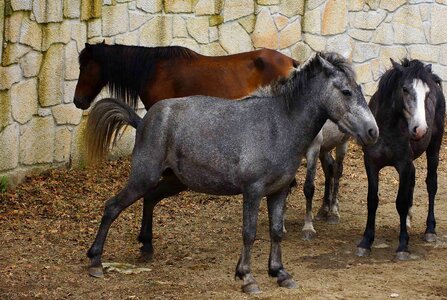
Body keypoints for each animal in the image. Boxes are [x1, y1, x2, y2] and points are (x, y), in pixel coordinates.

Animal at [86, 52, 378, 294]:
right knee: (112, 206)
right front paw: (247, 278)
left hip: (174, 180)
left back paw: (146, 247)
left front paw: (280, 273)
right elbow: (249, 233)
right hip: (143, 176)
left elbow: (276, 231)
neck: (278, 124)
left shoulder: (278, 191)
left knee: (149, 199)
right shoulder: (253, 191)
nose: (372, 131)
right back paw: (95, 261)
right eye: (346, 92)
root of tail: (144, 120)